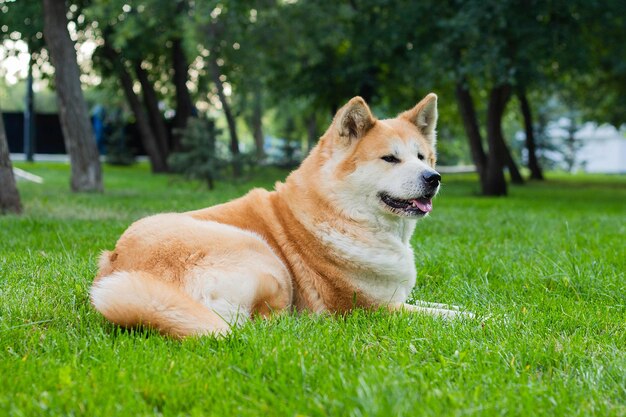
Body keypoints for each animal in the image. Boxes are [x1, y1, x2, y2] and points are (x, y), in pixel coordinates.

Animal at [89, 92, 468, 336]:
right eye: (390, 159)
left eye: (422, 157)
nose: (433, 178)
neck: (341, 214)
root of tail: (120, 265)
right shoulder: (374, 310)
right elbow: (449, 316)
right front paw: (481, 320)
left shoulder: (396, 299)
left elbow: (447, 306)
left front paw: (466, 309)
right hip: (264, 256)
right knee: (264, 326)